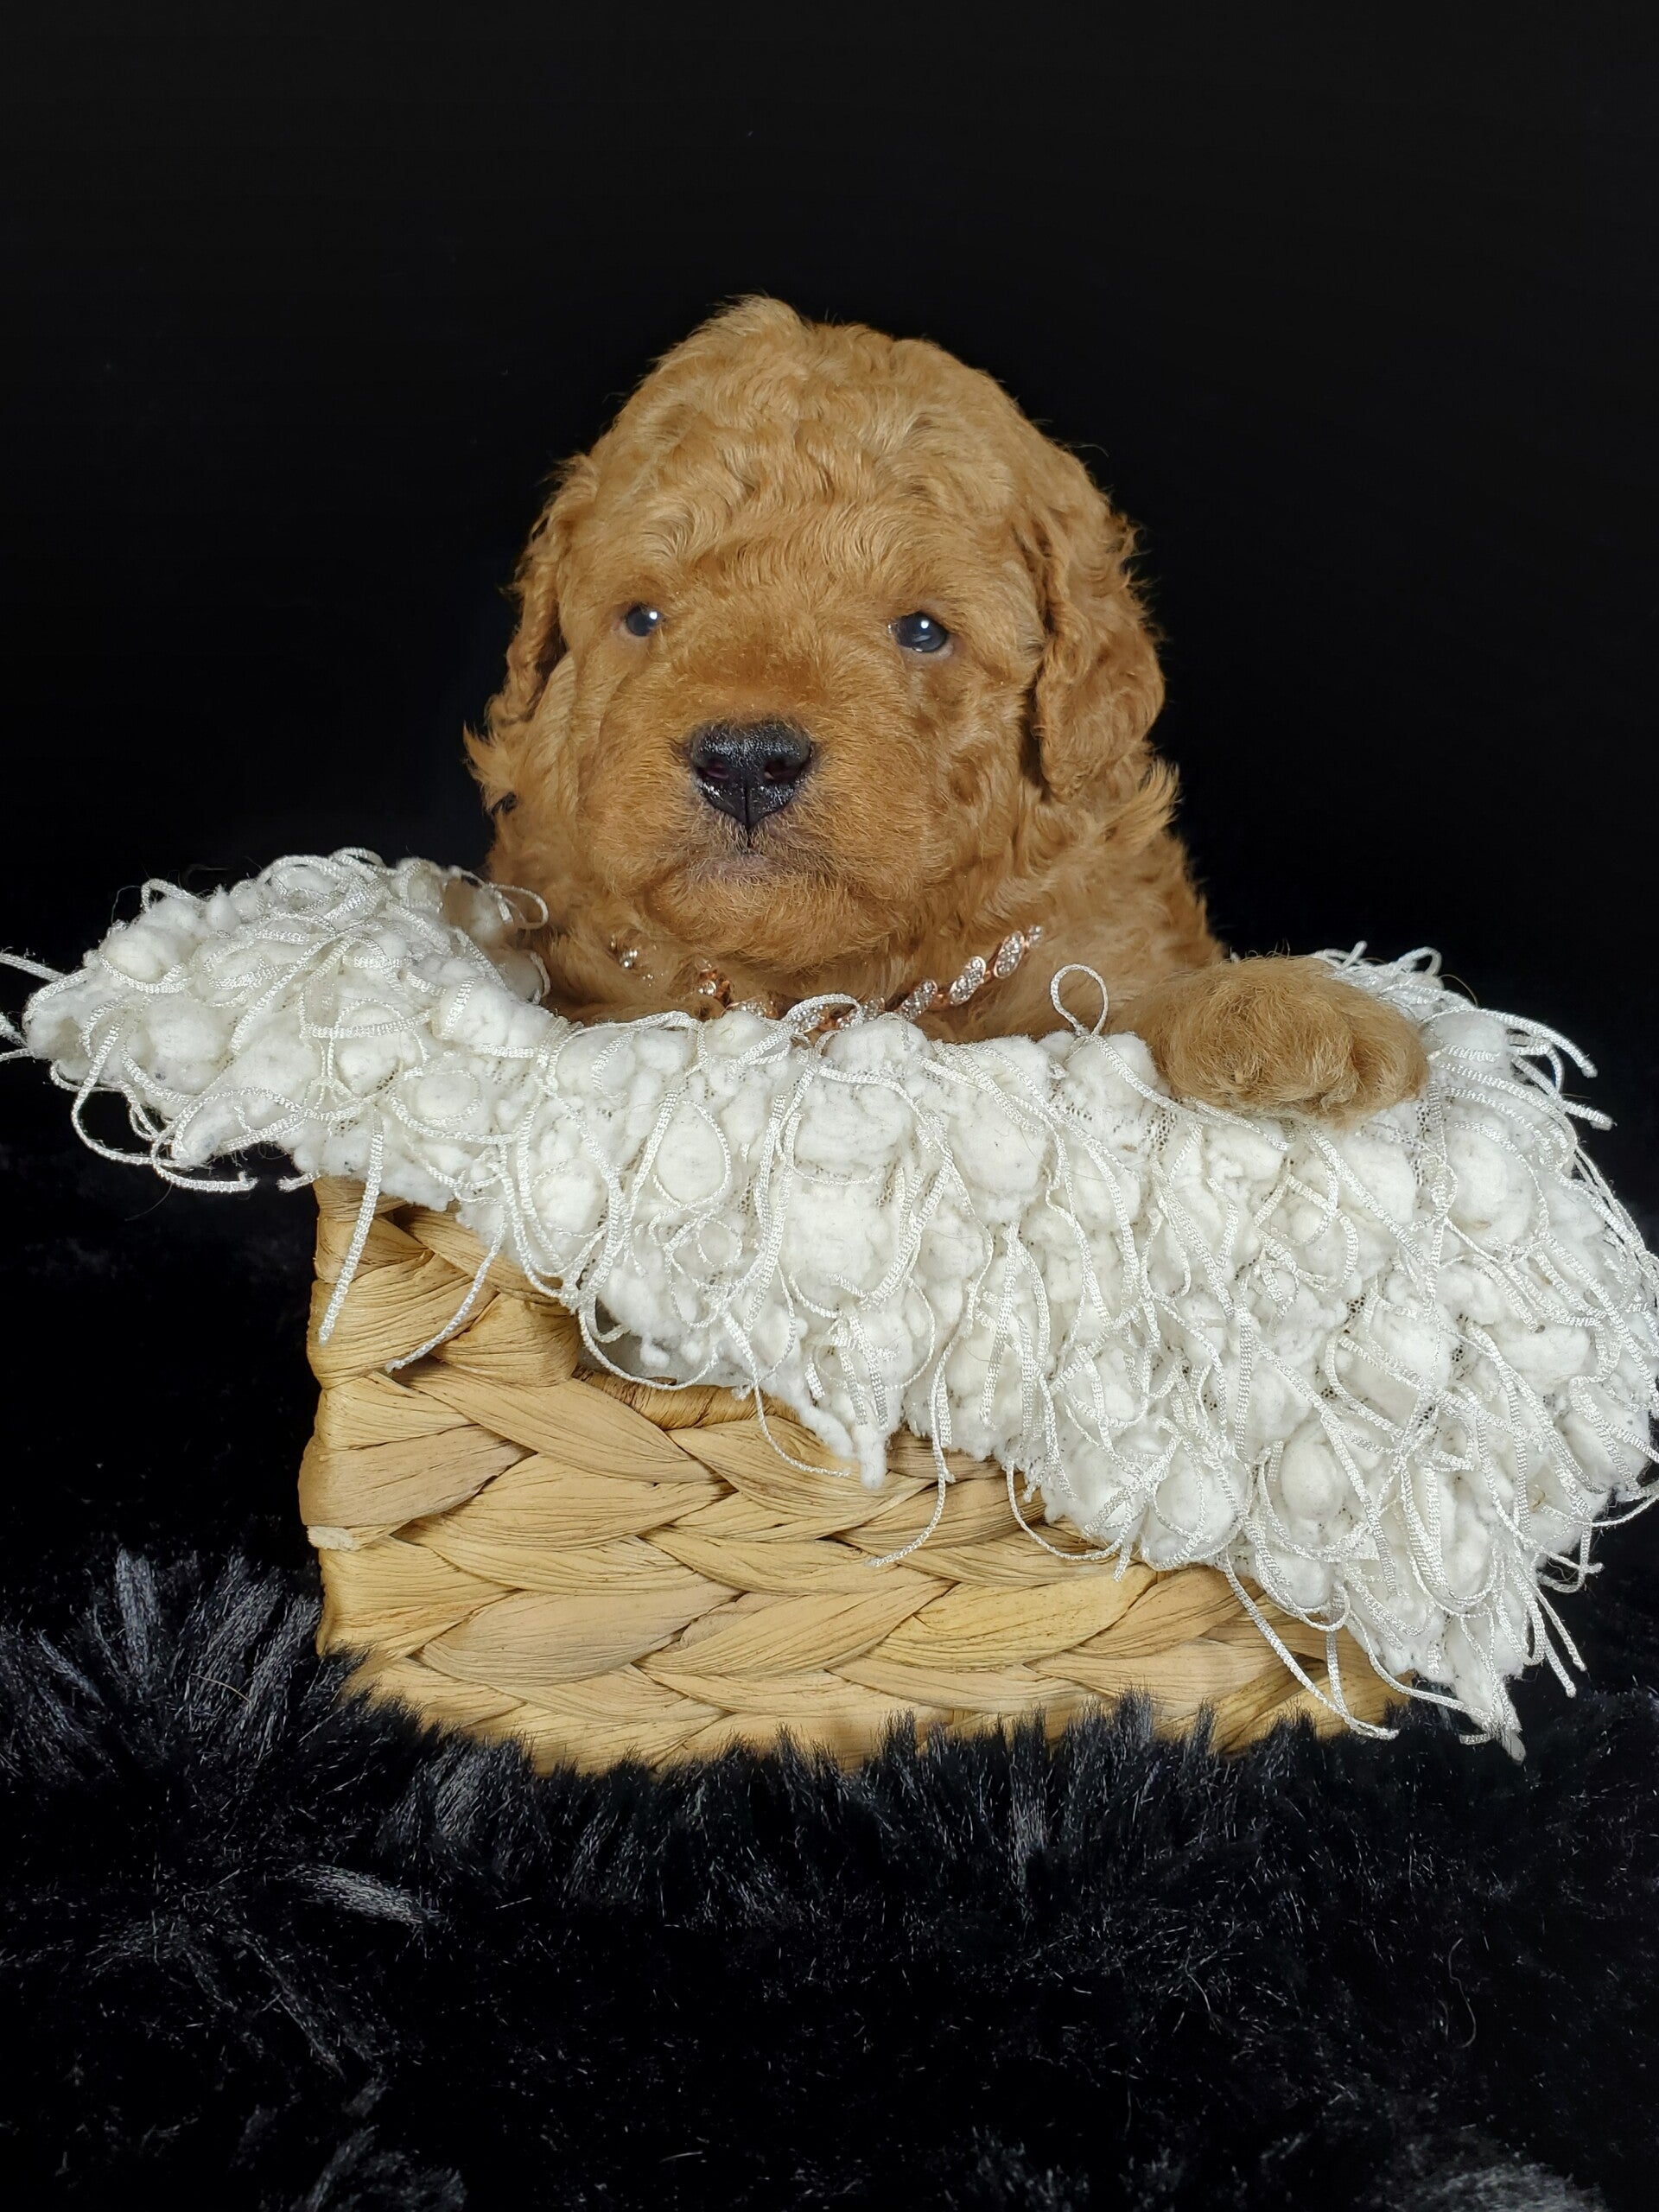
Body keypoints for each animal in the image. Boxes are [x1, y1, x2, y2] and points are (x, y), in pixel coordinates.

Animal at [468, 298, 1425, 1124]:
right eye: (642, 618)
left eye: (923, 630)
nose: (745, 760)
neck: (827, 992)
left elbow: (1128, 1014)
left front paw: (1285, 1013)